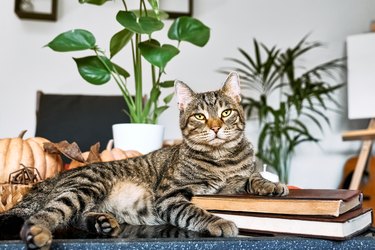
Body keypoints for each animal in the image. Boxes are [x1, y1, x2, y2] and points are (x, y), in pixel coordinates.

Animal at [0, 71, 290, 249]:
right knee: (50, 213)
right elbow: (195, 211)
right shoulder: (170, 195)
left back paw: (101, 222)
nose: (216, 127)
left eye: (226, 112)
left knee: (73, 217)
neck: (221, 159)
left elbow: (252, 175)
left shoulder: (237, 178)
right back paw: (38, 232)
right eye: (199, 116)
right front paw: (218, 221)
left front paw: (271, 185)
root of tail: (55, 178)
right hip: (85, 187)